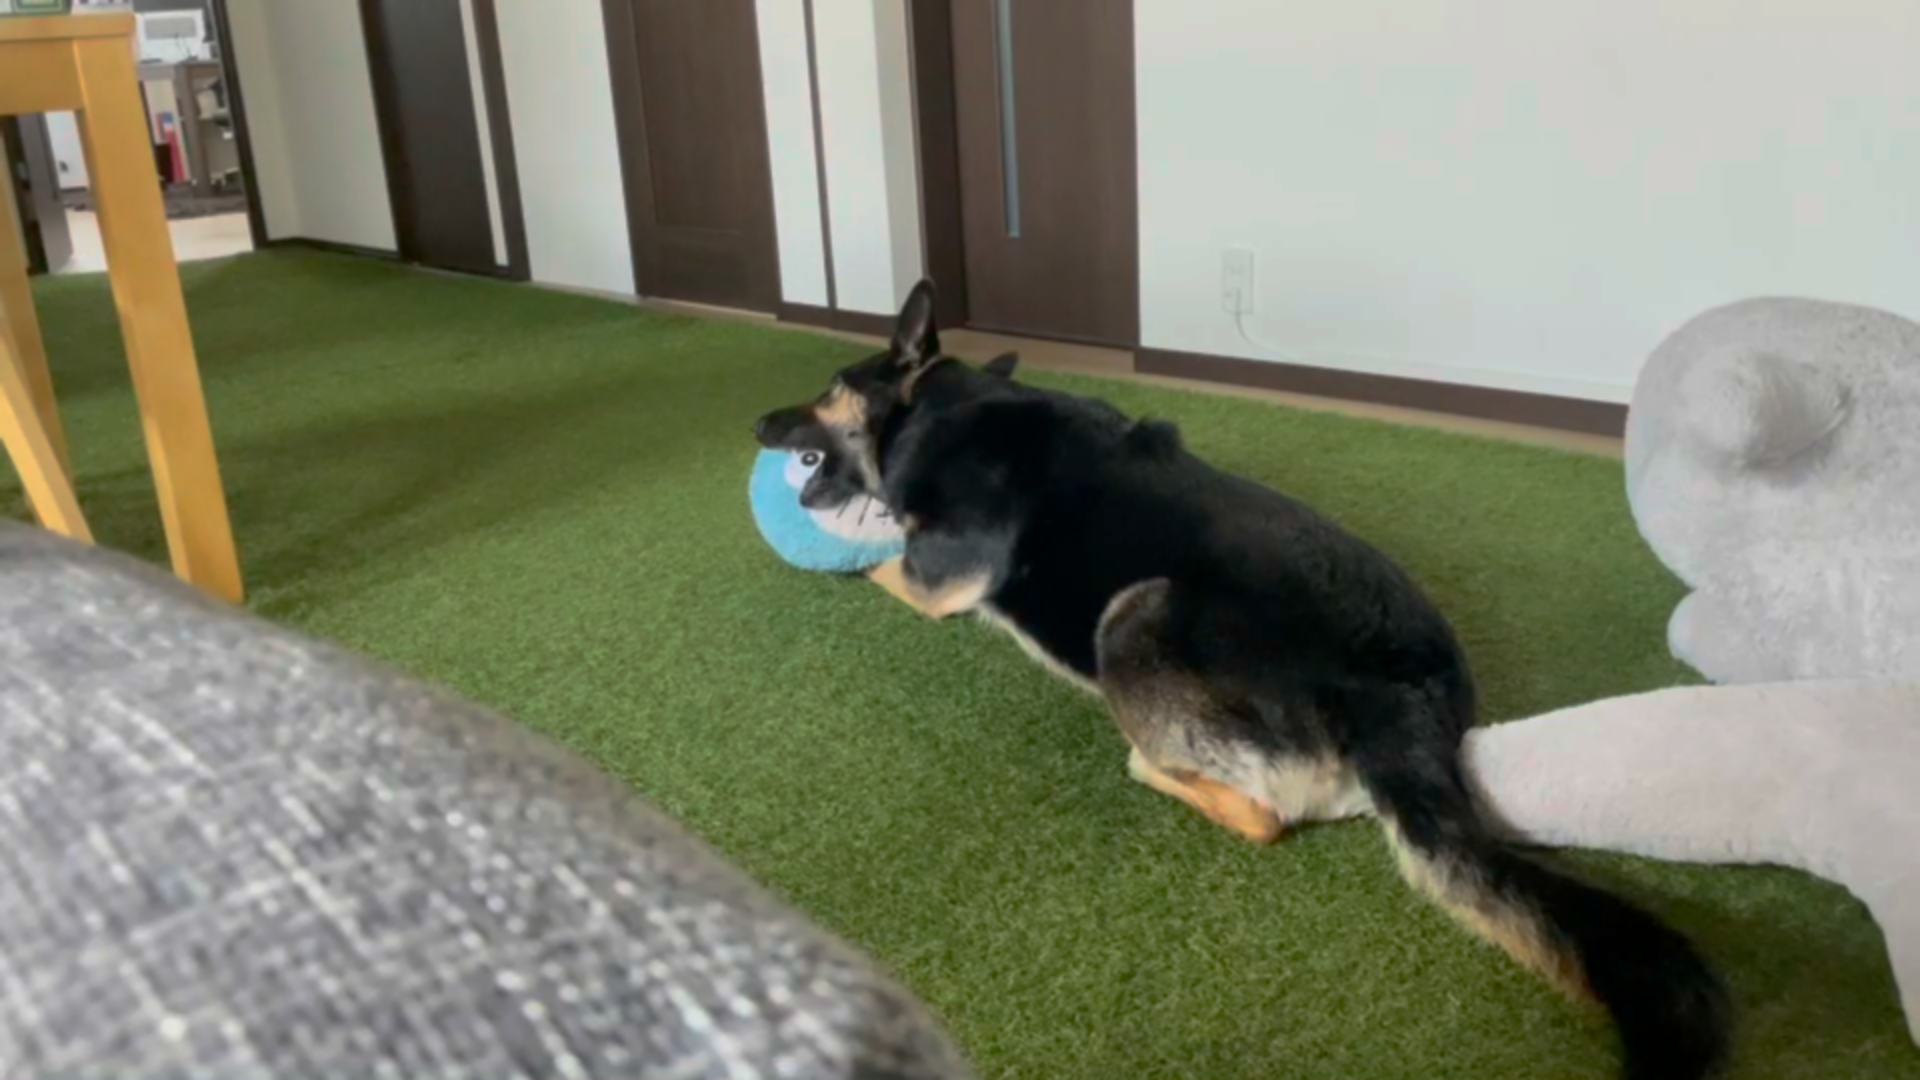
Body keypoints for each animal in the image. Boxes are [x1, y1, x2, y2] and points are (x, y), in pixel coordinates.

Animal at [754, 282, 1729, 1080]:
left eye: (830, 385)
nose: (760, 427)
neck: (942, 405)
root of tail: (1404, 705)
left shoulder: (933, 579)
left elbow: (870, 561)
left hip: (1134, 613)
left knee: (1253, 810)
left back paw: (1150, 763)